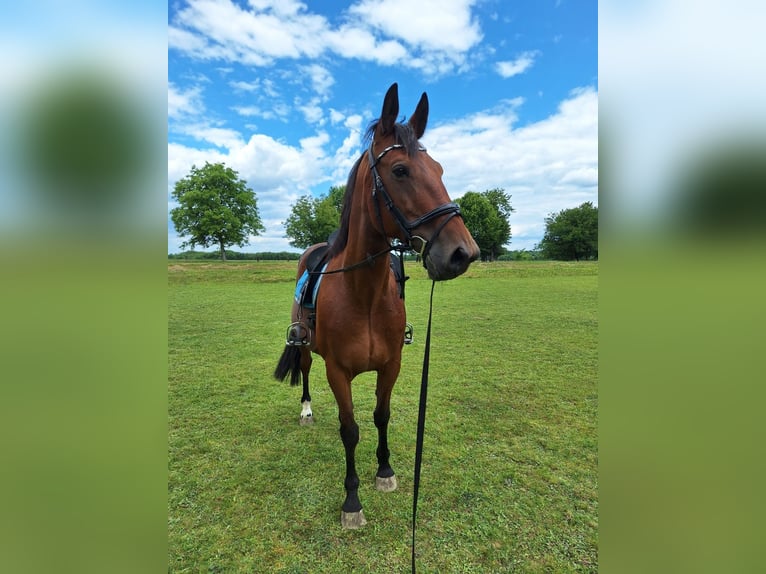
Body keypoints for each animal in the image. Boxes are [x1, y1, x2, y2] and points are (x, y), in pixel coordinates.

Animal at [274, 83, 480, 529]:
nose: (463, 253)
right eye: (400, 171)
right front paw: (352, 502)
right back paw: (306, 411)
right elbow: (349, 429)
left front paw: (385, 471)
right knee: (305, 370)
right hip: (306, 348)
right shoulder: (338, 372)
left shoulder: (391, 365)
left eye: (440, 170)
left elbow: (380, 417)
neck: (363, 293)